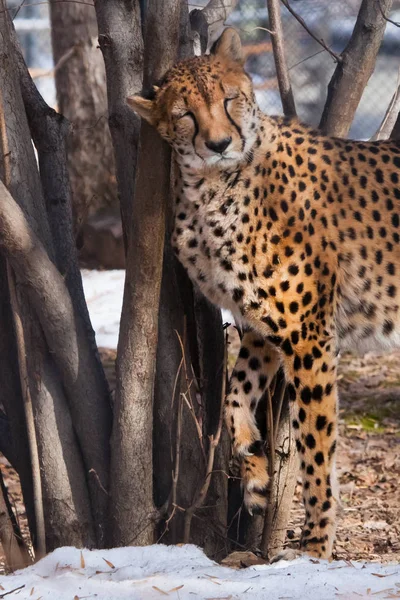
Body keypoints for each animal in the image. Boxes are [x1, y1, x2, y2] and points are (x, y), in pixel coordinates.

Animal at [129, 28, 400, 560]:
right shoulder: (261, 327)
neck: (211, 189)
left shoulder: (309, 338)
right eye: (184, 114)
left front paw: (315, 547)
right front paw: (253, 472)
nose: (218, 143)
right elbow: (234, 395)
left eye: (228, 99)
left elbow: (315, 449)